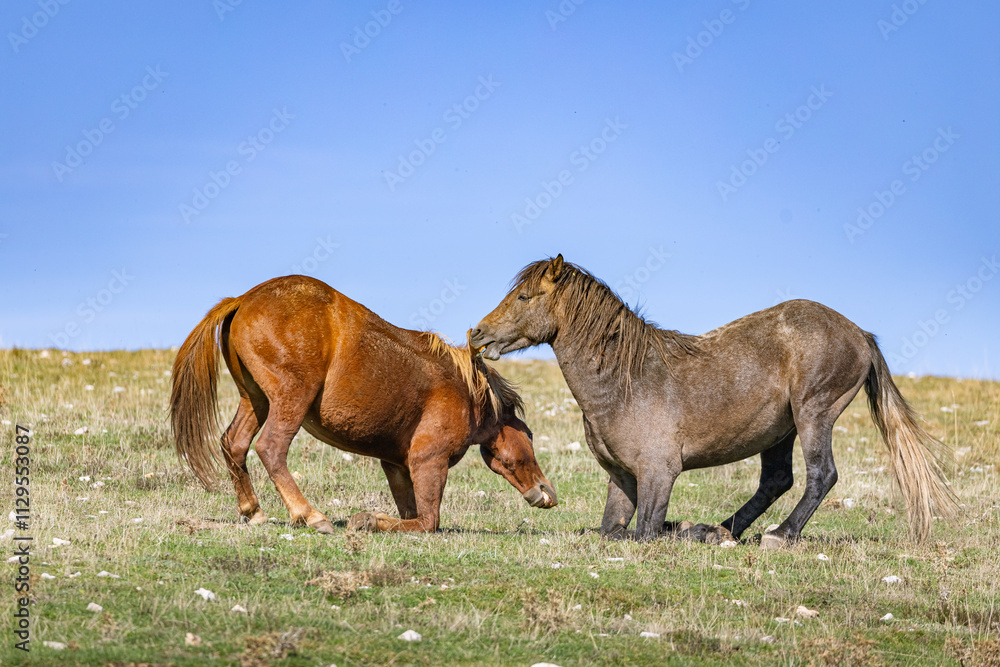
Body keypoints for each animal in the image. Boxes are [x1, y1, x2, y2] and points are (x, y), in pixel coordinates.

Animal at [170, 275, 557, 534]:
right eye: (529, 436)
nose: (546, 492)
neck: (467, 392)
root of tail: (243, 299)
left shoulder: (396, 465)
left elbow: (410, 513)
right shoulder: (428, 462)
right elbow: (426, 522)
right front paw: (368, 520)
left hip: (256, 400)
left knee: (234, 444)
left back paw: (253, 511)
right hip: (289, 400)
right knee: (270, 448)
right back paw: (311, 516)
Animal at [470, 255, 956, 547]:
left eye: (524, 296)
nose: (477, 334)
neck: (626, 382)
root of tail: (859, 333)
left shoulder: (659, 475)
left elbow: (646, 533)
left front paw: (690, 529)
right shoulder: (622, 479)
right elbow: (611, 531)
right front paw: (699, 529)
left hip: (813, 414)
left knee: (822, 475)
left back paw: (777, 534)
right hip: (781, 430)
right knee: (776, 481)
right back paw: (728, 529)